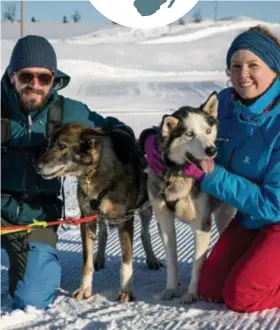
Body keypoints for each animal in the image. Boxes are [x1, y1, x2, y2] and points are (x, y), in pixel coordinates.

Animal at [37, 123, 161, 302]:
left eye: (61, 146)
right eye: (48, 145)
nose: (36, 165)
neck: (95, 173)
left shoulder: (125, 220)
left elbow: (126, 262)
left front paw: (126, 291)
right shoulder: (87, 218)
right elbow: (86, 262)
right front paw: (85, 288)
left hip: (146, 209)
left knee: (145, 234)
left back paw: (152, 259)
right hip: (100, 215)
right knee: (103, 234)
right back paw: (100, 258)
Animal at [147, 92, 236, 304]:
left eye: (208, 130)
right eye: (189, 134)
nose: (211, 150)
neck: (178, 173)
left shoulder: (202, 225)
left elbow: (197, 264)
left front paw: (192, 293)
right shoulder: (164, 221)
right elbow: (172, 260)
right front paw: (171, 288)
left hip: (223, 217)